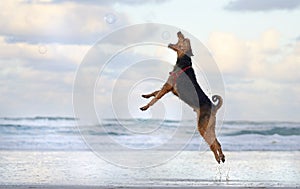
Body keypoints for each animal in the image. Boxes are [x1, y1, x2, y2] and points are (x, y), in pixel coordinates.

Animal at [139, 31, 225, 164]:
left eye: (184, 40)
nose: (179, 32)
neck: (184, 60)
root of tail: (214, 106)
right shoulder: (168, 88)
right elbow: (154, 93)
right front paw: (145, 95)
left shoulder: (167, 86)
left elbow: (155, 98)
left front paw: (145, 107)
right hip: (209, 126)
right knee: (217, 143)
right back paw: (221, 157)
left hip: (202, 126)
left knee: (213, 144)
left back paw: (218, 158)